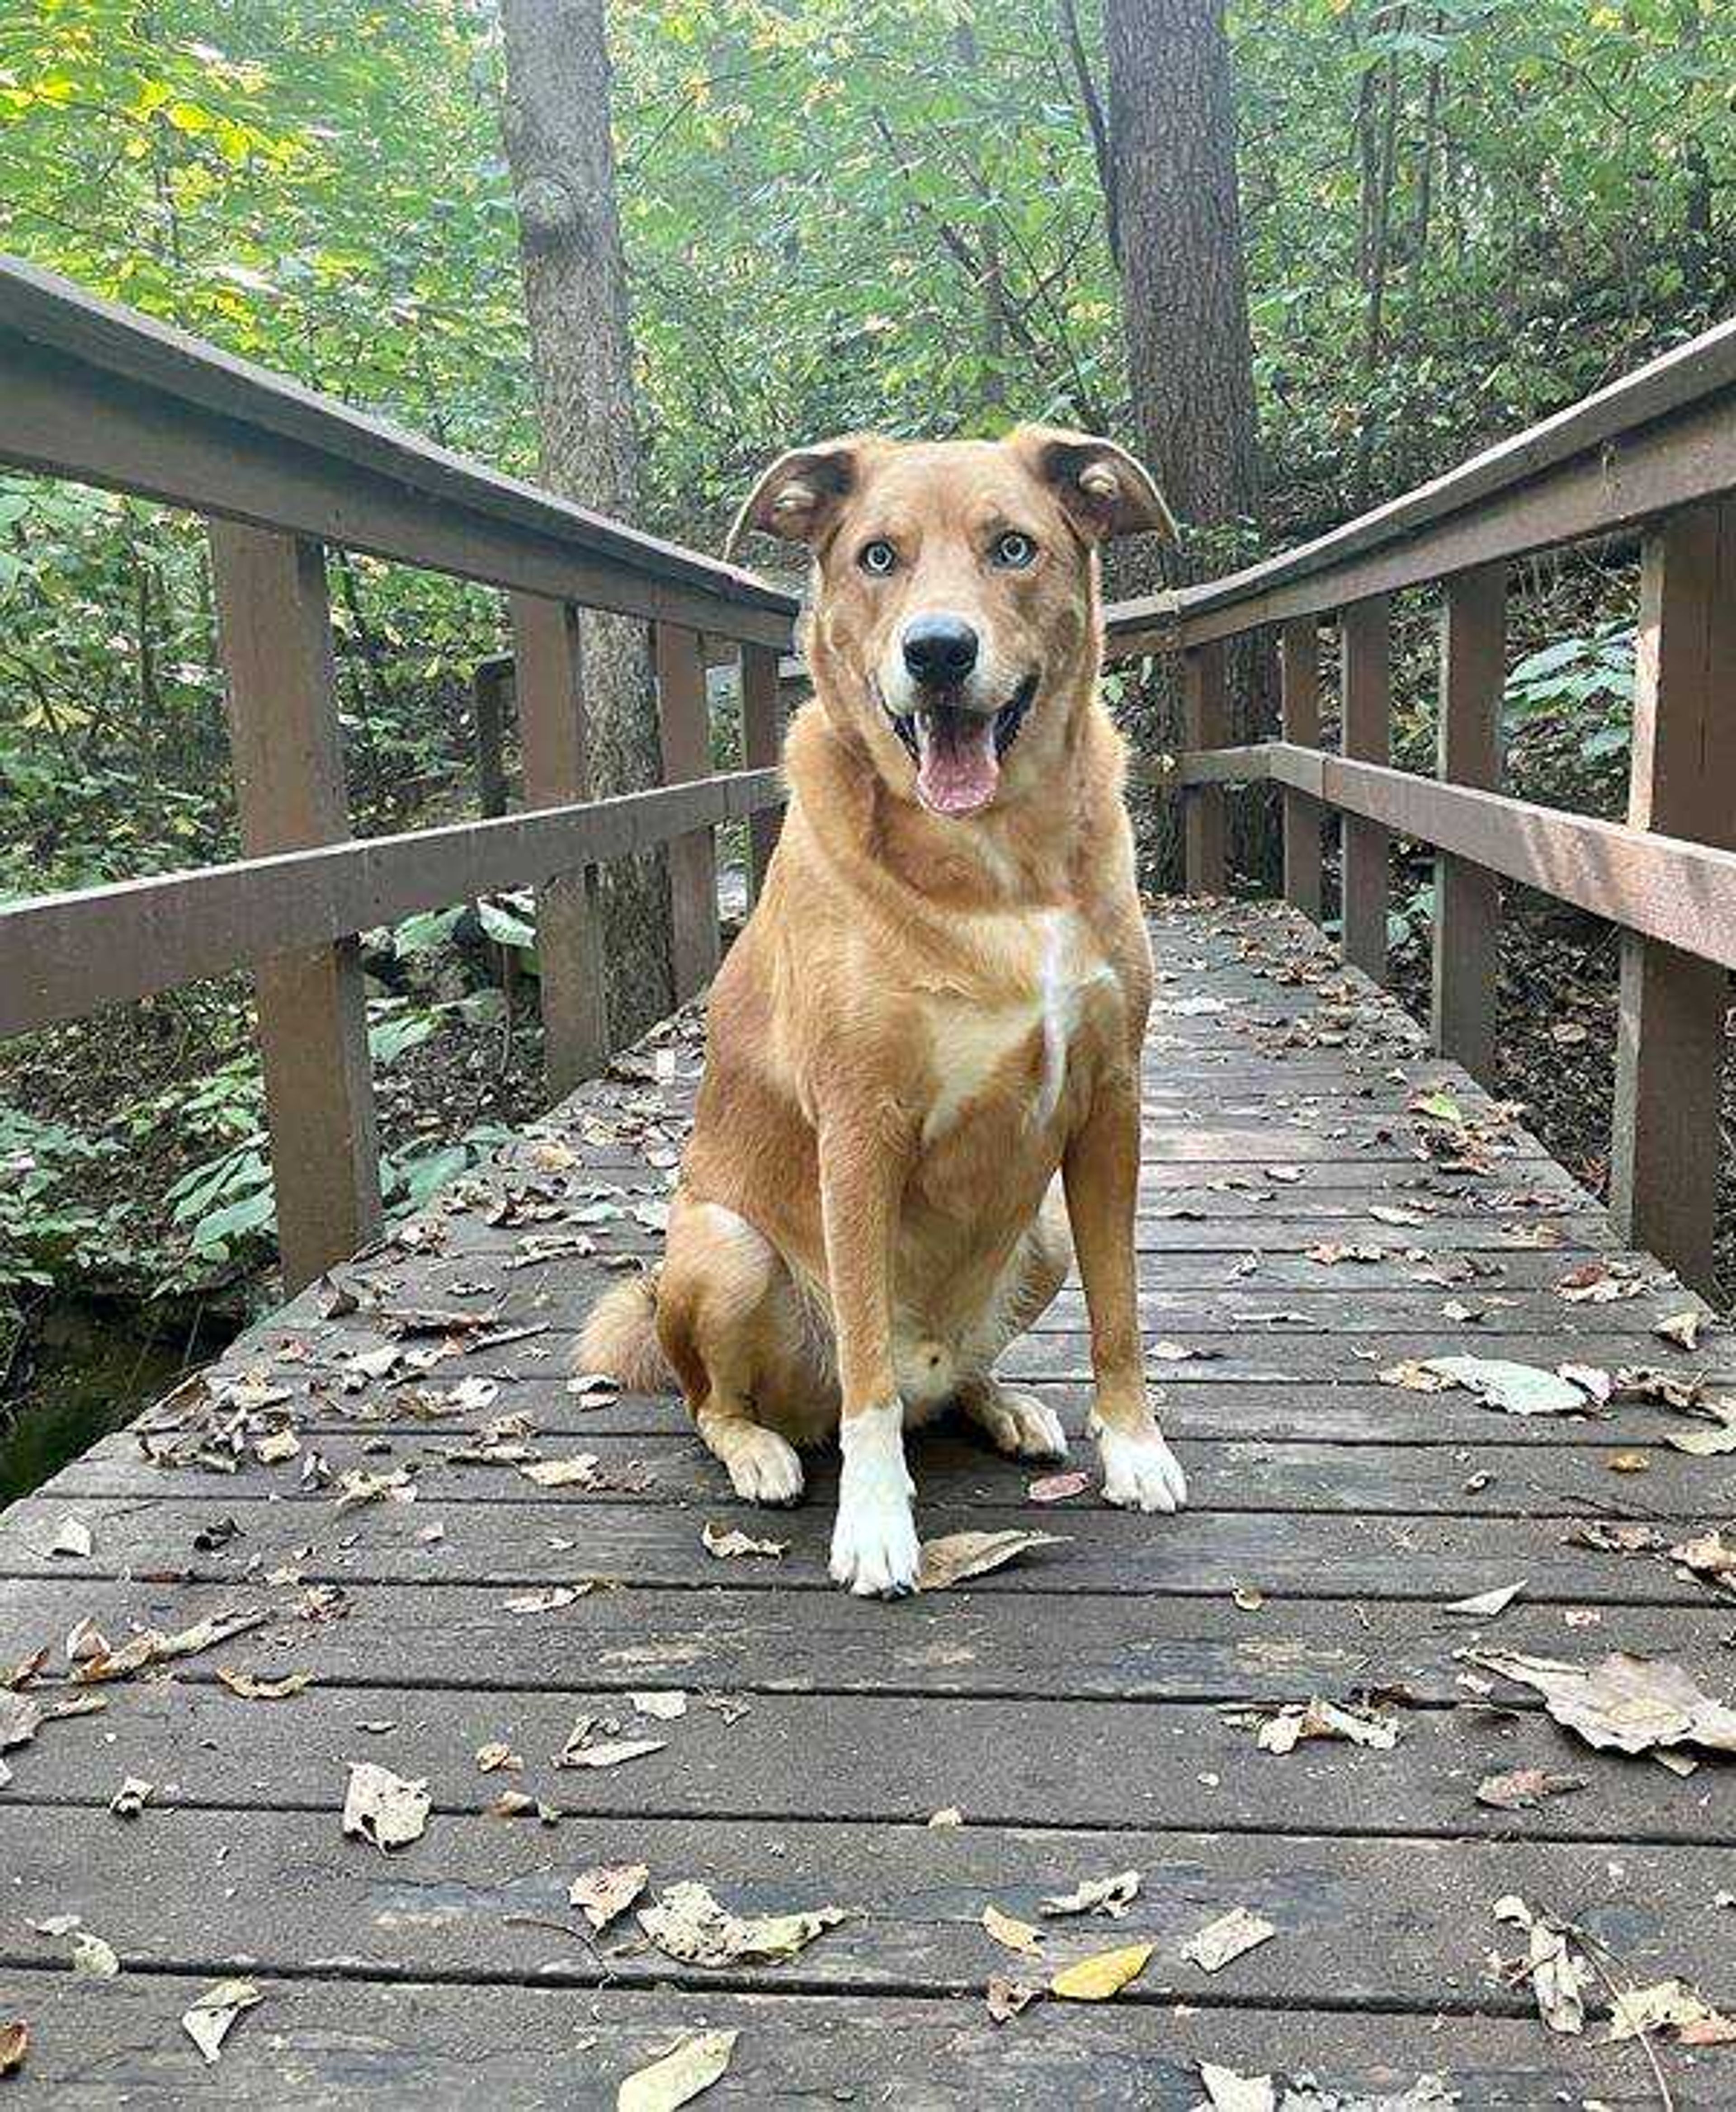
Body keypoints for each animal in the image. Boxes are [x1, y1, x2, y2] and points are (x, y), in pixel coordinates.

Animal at [583, 420, 1199, 1588]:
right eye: (878, 556)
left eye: (1013, 547)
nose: (939, 652)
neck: (1001, 867)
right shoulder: (860, 1128)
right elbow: (866, 1364)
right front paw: (874, 1520)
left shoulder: (1112, 1104)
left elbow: (1124, 1308)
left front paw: (1135, 1444)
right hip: (726, 1248)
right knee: (732, 1401)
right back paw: (762, 1450)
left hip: (1043, 1230)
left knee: (946, 1383)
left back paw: (1001, 1403)